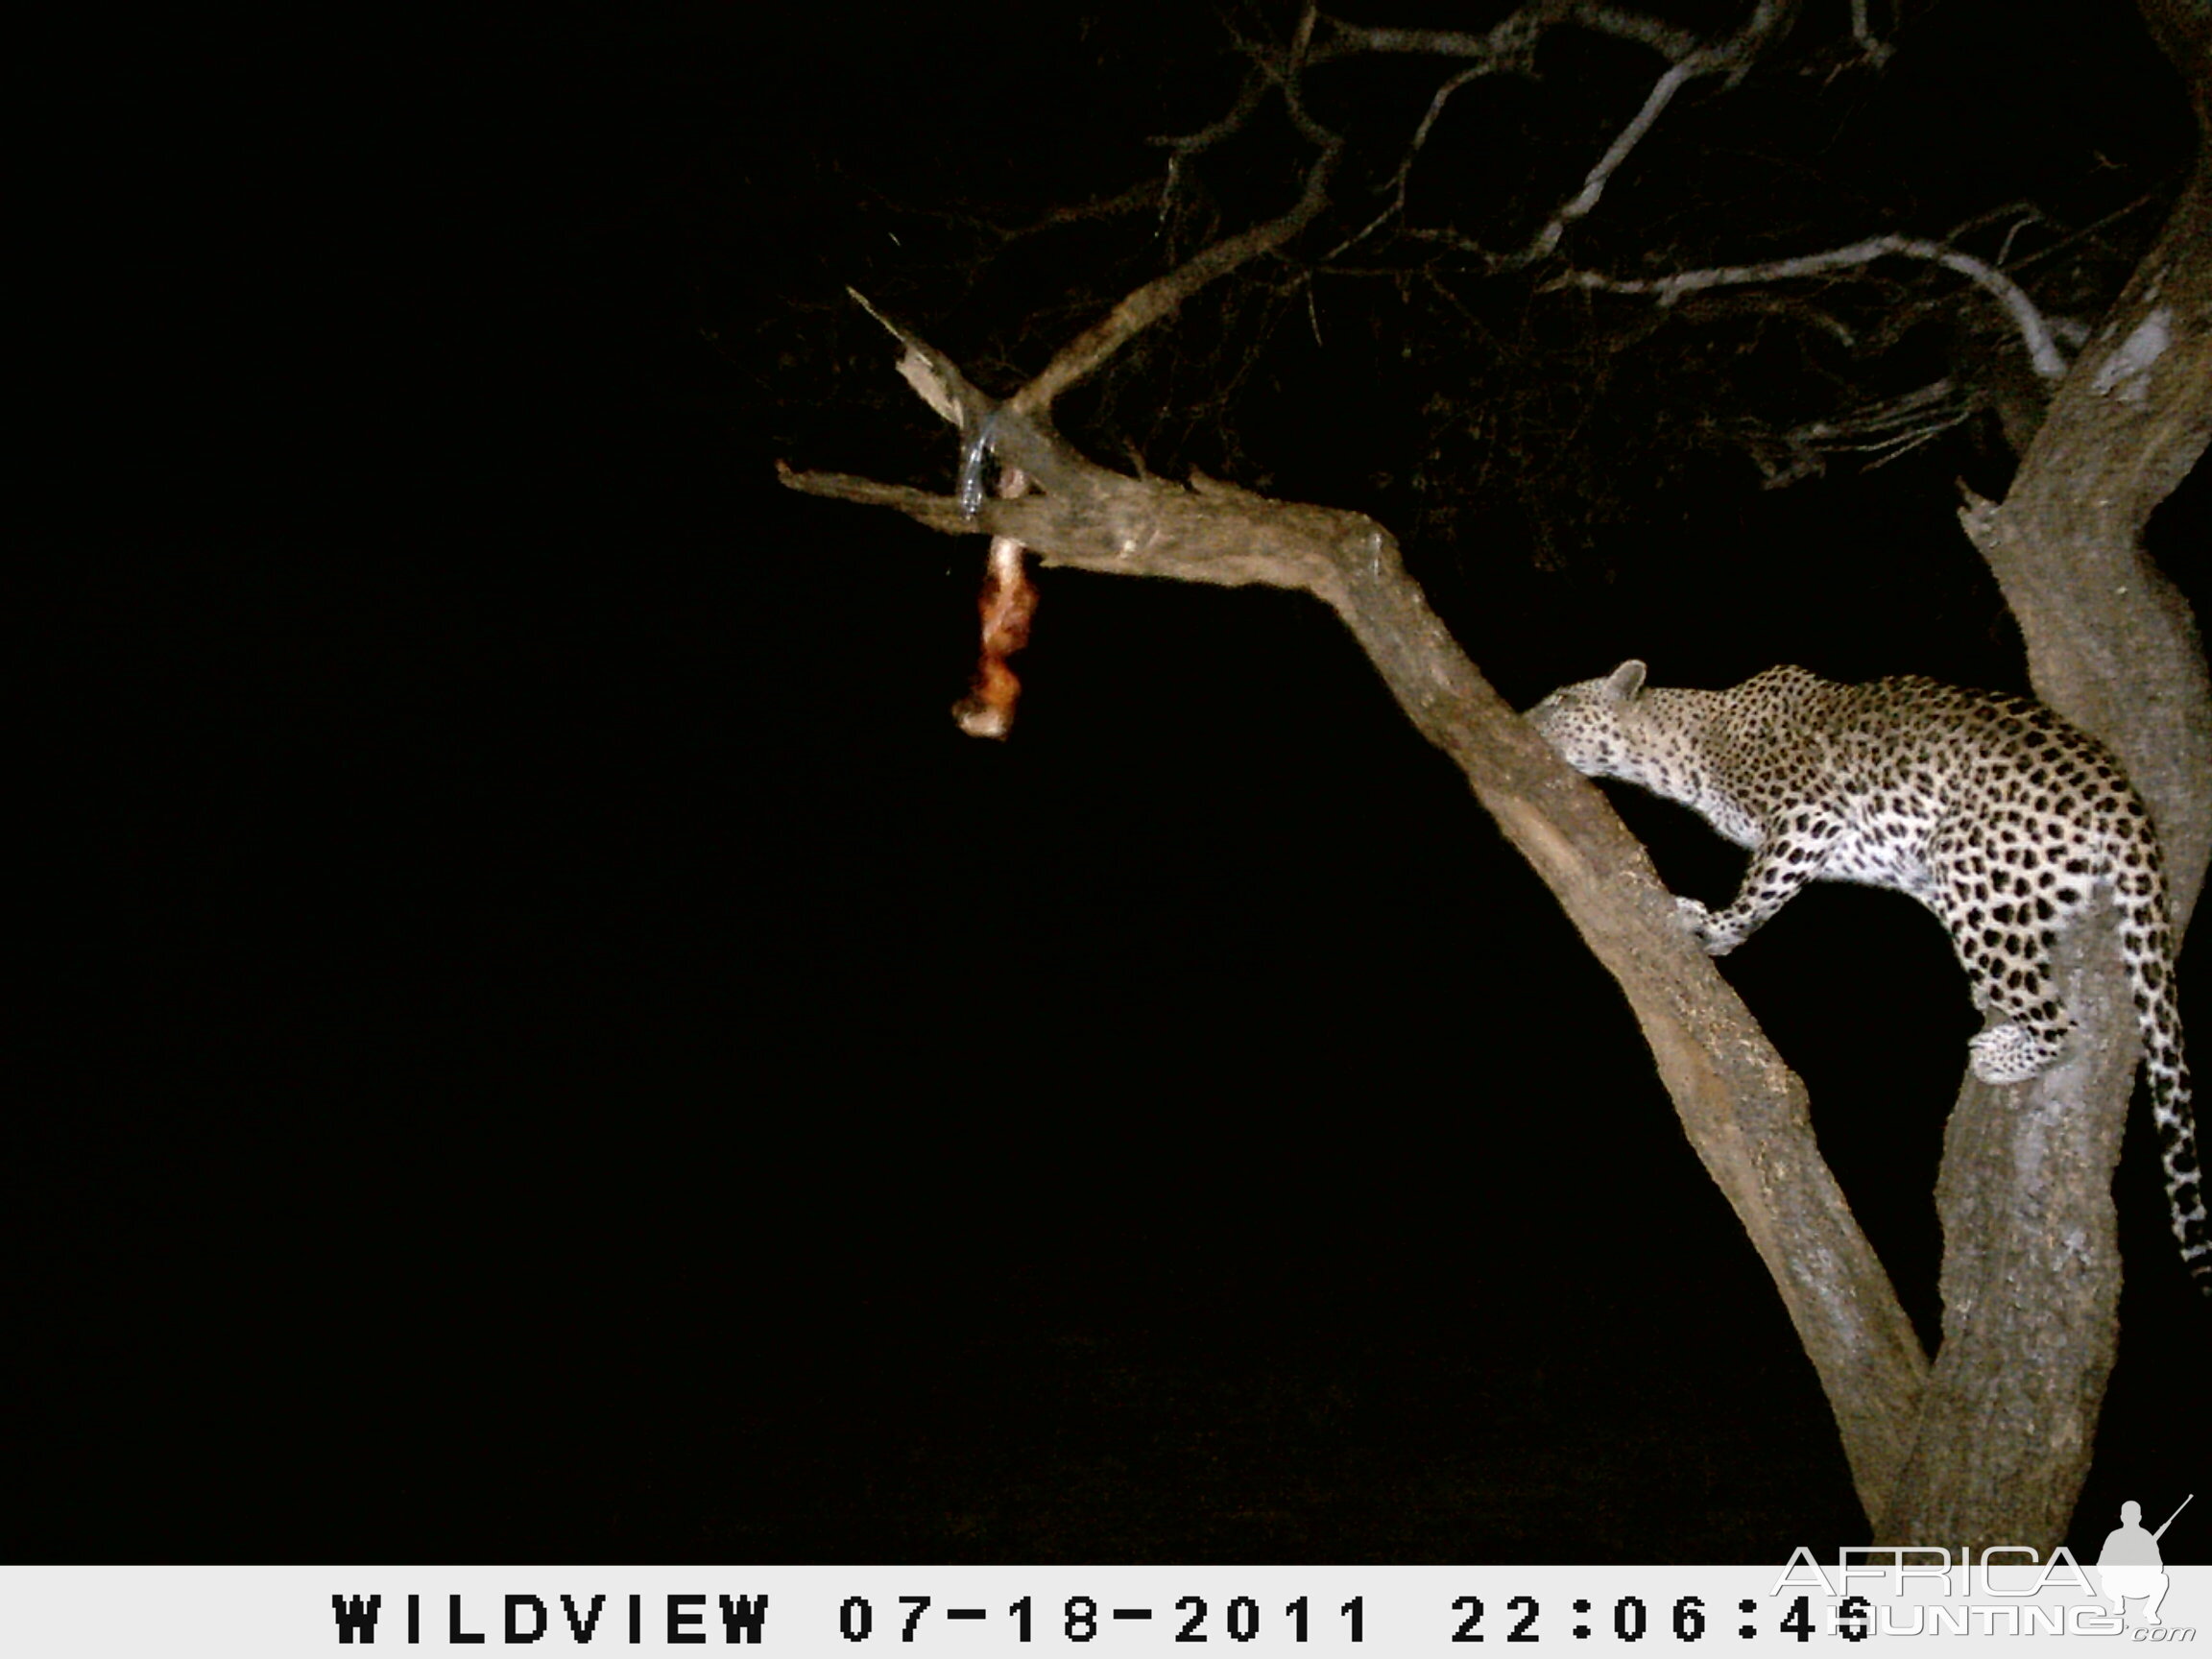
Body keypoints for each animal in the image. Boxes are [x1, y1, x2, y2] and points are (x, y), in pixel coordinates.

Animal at [1530, 663, 2202, 1300]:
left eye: (1560, 700)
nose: (1527, 718)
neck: (1682, 742)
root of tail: (2121, 796)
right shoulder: (1902, 866)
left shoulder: (1805, 816)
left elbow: (1761, 893)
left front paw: (1714, 926)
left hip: (1971, 868)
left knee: (2061, 1022)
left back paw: (2000, 1053)